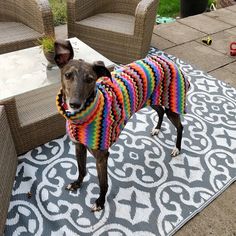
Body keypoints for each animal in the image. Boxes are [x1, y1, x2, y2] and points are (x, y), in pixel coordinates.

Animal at [54, 39, 189, 211]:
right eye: (67, 75)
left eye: (90, 79)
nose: (75, 104)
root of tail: (169, 60)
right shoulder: (79, 146)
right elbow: (82, 169)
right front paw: (77, 184)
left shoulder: (101, 156)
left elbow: (103, 183)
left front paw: (100, 202)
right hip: (152, 100)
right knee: (160, 112)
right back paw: (157, 129)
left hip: (172, 104)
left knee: (180, 126)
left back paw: (177, 148)